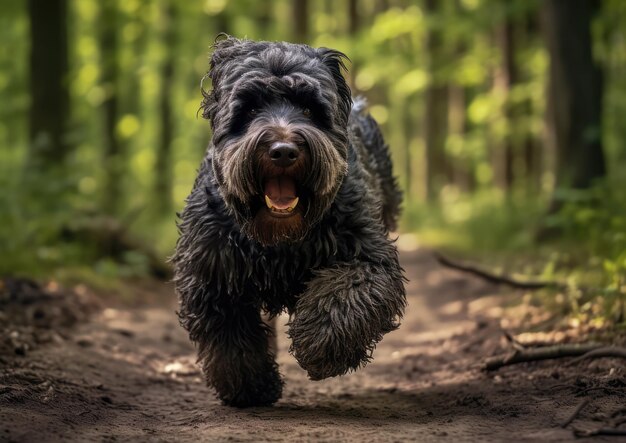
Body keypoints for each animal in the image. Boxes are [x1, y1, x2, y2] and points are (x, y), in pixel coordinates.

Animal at [172, 36, 404, 408]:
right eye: (251, 109)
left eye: (308, 109)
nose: (283, 150)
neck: (279, 239)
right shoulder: (213, 273)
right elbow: (230, 339)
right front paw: (250, 387)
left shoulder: (367, 256)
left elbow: (347, 294)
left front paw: (320, 346)